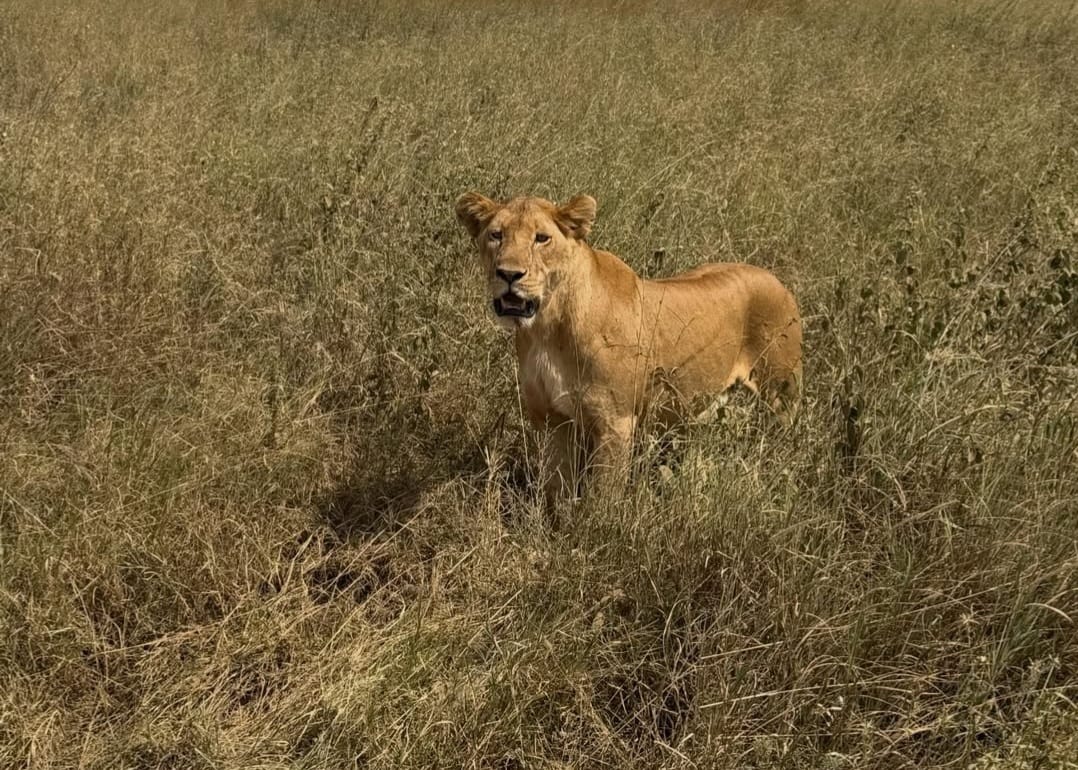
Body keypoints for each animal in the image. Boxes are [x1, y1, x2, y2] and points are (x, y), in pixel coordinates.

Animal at [455, 191, 802, 496]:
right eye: (496, 235)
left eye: (541, 238)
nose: (508, 274)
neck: (547, 328)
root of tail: (776, 280)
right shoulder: (554, 419)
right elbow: (556, 489)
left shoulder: (616, 422)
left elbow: (602, 496)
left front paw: (592, 530)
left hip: (782, 395)